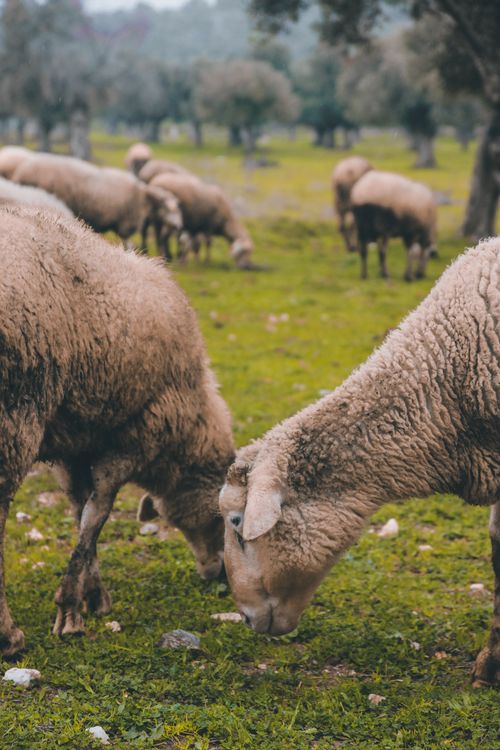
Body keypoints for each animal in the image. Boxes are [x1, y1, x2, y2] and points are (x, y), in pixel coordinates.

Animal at [0, 205, 235, 656]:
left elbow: (81, 513)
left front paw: (93, 595)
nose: (220, 575)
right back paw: (9, 636)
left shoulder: (75, 443)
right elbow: (97, 515)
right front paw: (71, 611)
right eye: (224, 519)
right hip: (16, 413)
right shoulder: (136, 435)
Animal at [12, 152, 182, 245]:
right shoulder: (124, 223)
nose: (179, 226)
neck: (142, 197)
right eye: (168, 208)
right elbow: (128, 244)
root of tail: (22, 171)